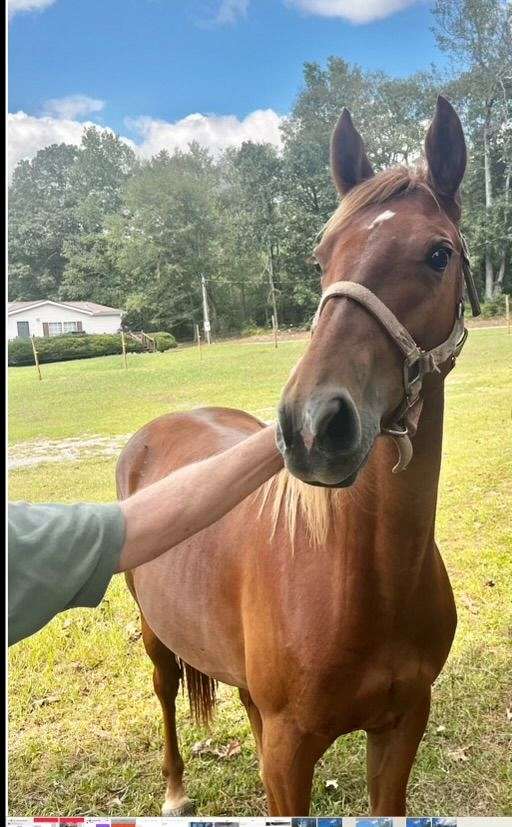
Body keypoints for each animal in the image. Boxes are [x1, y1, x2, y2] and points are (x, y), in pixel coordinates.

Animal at [117, 95, 480, 816]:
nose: (313, 425)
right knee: (165, 691)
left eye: (438, 254)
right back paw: (174, 790)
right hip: (155, 635)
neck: (357, 576)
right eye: (320, 259)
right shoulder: (290, 755)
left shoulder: (402, 727)